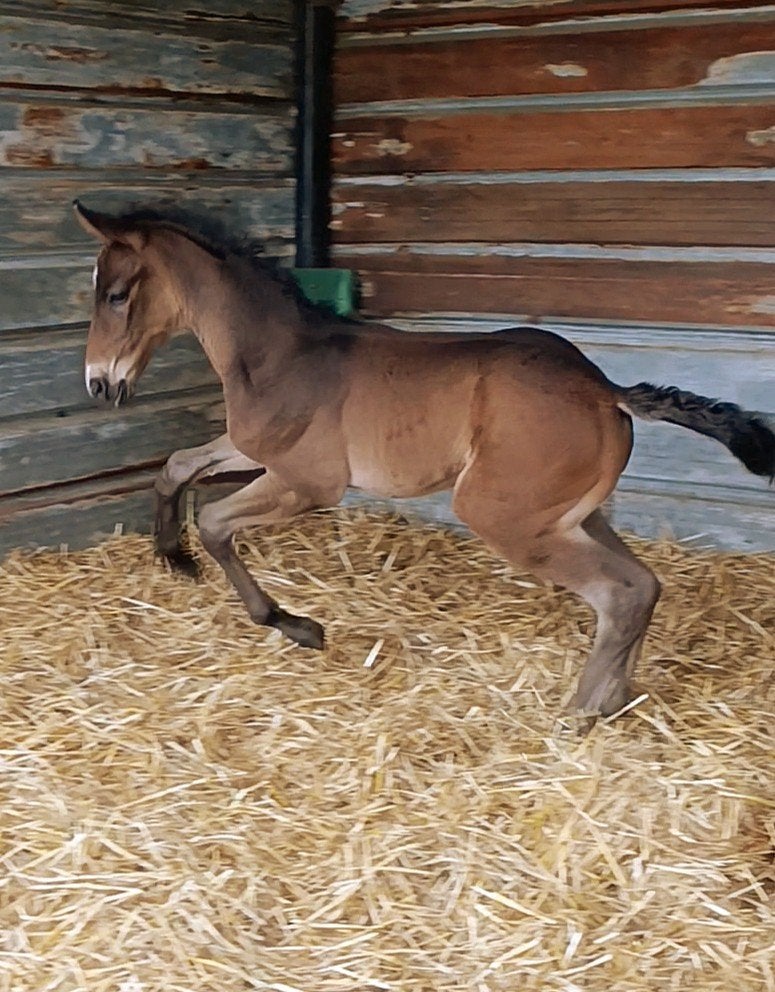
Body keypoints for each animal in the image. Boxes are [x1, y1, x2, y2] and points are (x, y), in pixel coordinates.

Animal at [73, 201, 775, 717]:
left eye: (116, 295)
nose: (99, 384)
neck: (281, 351)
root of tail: (603, 388)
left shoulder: (307, 482)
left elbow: (216, 522)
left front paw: (295, 625)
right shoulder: (252, 449)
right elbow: (177, 465)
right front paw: (174, 556)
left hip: (504, 515)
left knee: (617, 593)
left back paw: (580, 712)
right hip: (572, 515)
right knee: (643, 584)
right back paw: (616, 700)